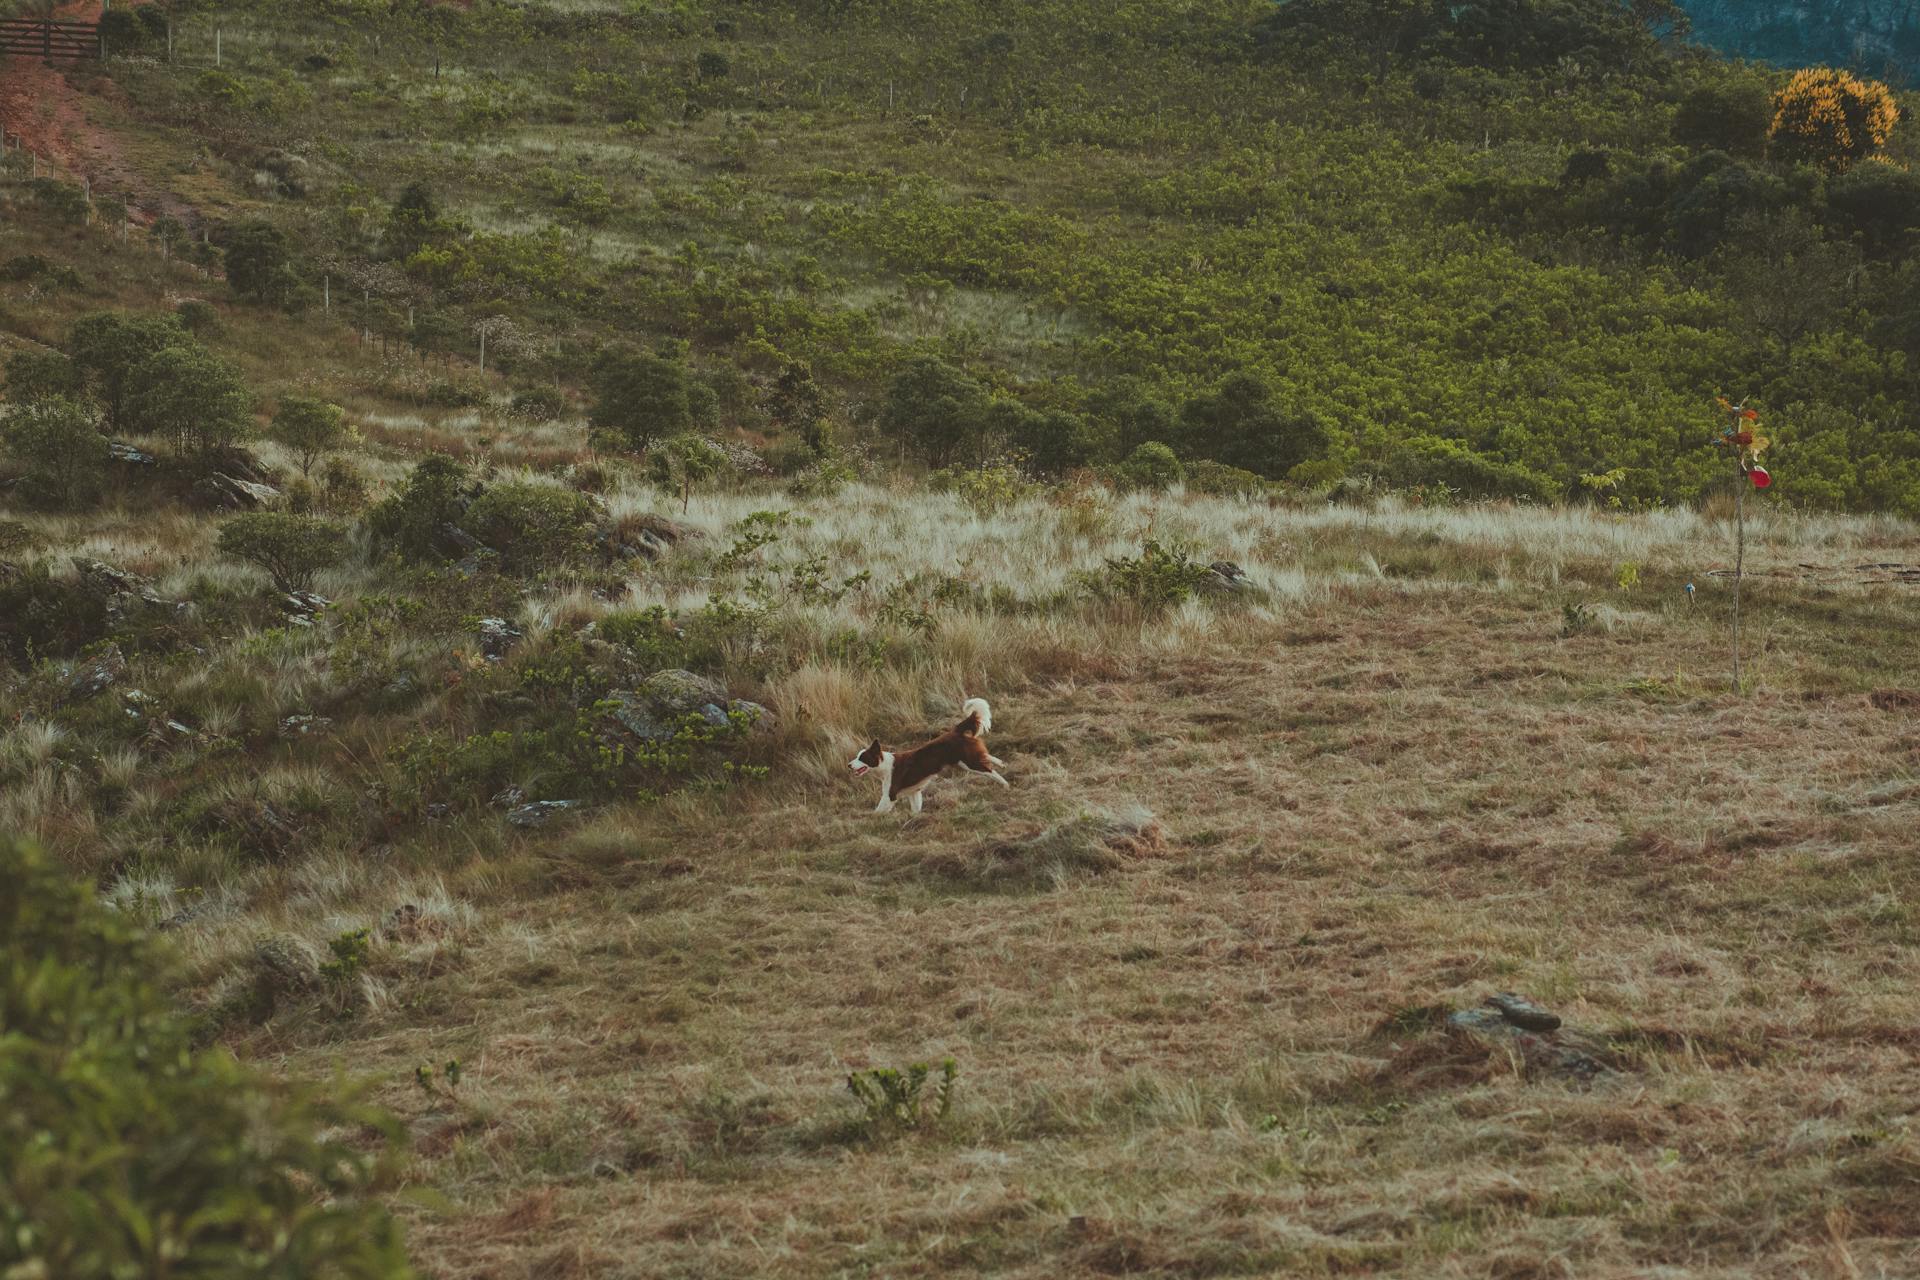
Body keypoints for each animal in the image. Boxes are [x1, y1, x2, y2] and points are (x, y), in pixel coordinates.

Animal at [848, 694, 1013, 817]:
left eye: (862, 758)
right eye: (857, 757)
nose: (849, 765)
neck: (883, 765)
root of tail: (956, 731)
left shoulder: (890, 795)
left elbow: (877, 811)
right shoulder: (914, 792)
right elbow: (915, 809)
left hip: (968, 762)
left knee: (989, 770)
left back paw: (1005, 785)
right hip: (966, 760)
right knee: (986, 757)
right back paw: (1001, 763)